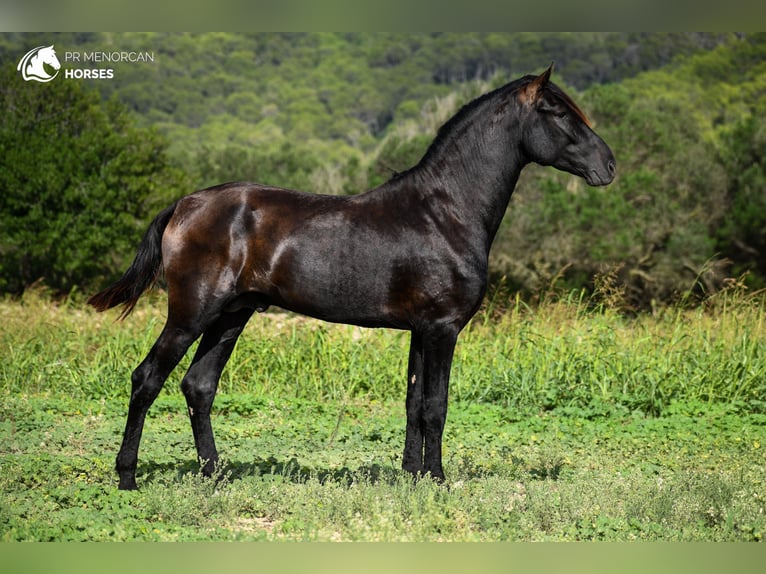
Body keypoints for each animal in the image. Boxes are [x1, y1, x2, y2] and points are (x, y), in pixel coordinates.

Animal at [90, 66, 616, 490]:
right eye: (555, 111)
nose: (608, 165)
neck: (444, 211)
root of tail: (184, 205)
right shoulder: (442, 329)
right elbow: (436, 405)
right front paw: (438, 480)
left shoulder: (420, 331)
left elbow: (413, 403)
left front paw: (412, 476)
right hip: (191, 313)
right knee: (147, 379)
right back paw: (128, 478)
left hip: (231, 316)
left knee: (198, 386)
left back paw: (214, 476)